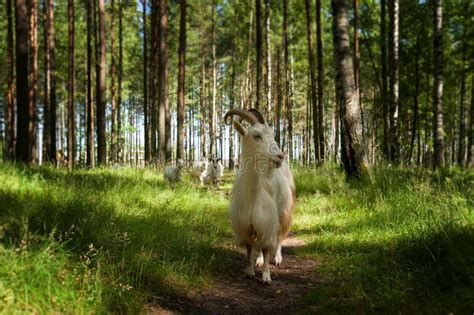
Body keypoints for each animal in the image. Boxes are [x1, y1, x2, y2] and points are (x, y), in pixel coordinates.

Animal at [224, 107, 294, 286]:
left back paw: (277, 258)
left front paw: (266, 276)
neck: (253, 194)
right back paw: (260, 261)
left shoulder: (268, 220)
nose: (280, 156)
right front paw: (250, 270)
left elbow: (267, 247)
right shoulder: (246, 223)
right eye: (256, 136)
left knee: (279, 238)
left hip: (283, 212)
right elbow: (250, 247)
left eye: (273, 134)